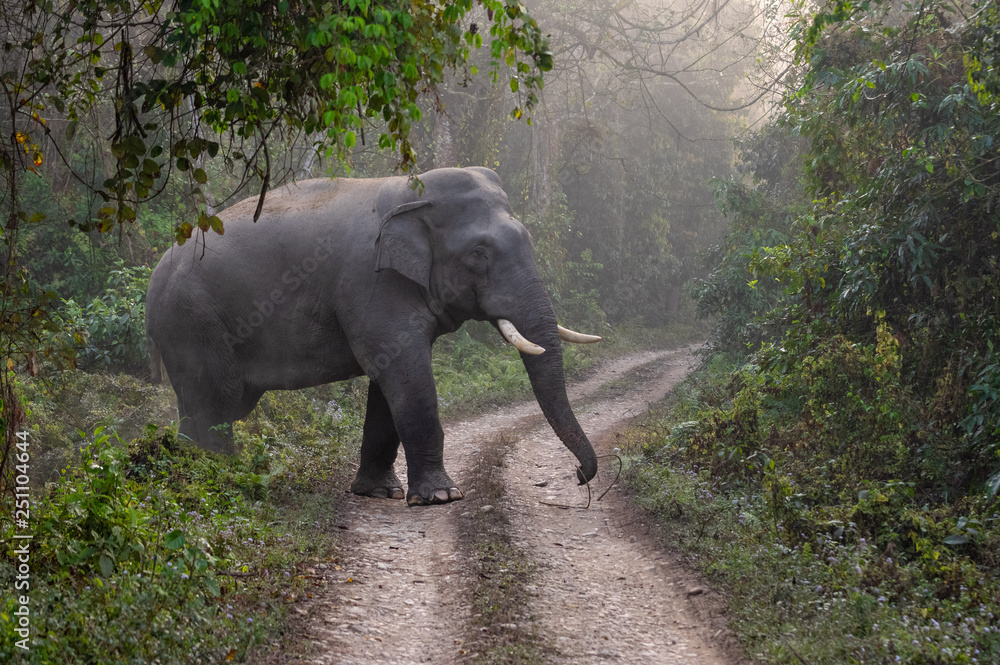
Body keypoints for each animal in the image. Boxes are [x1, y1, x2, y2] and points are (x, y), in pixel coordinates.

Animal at [145, 166, 602, 506]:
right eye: (479, 253)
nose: (578, 475)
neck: (412, 190)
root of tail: (155, 275)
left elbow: (388, 382)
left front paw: (379, 493)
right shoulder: (371, 284)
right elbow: (407, 374)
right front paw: (441, 497)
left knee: (204, 404)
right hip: (192, 321)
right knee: (214, 401)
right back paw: (217, 475)